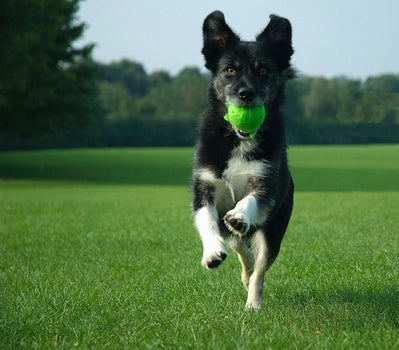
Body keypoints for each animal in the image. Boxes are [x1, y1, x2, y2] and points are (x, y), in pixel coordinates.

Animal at [192, 10, 296, 308]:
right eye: (230, 70)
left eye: (263, 70)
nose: (245, 93)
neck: (240, 139)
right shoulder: (204, 186)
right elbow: (205, 219)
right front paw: (212, 252)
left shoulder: (266, 184)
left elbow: (251, 200)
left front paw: (239, 215)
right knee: (242, 249)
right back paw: (243, 268)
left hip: (274, 231)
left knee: (259, 269)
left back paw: (253, 303)